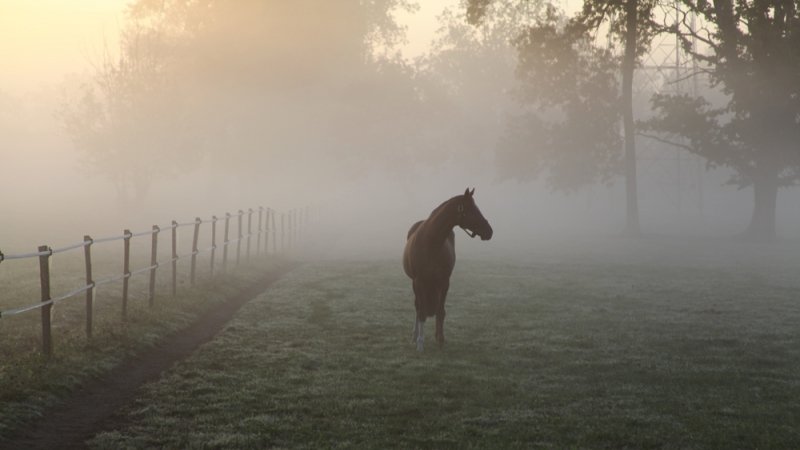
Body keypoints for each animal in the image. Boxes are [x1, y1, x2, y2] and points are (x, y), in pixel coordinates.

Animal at [403, 188, 493, 351]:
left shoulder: (444, 282)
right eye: (472, 210)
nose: (489, 231)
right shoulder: (419, 282)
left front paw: (440, 339)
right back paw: (415, 335)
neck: (430, 243)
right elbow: (421, 311)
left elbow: (440, 311)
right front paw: (420, 342)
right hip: (416, 284)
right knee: (418, 306)